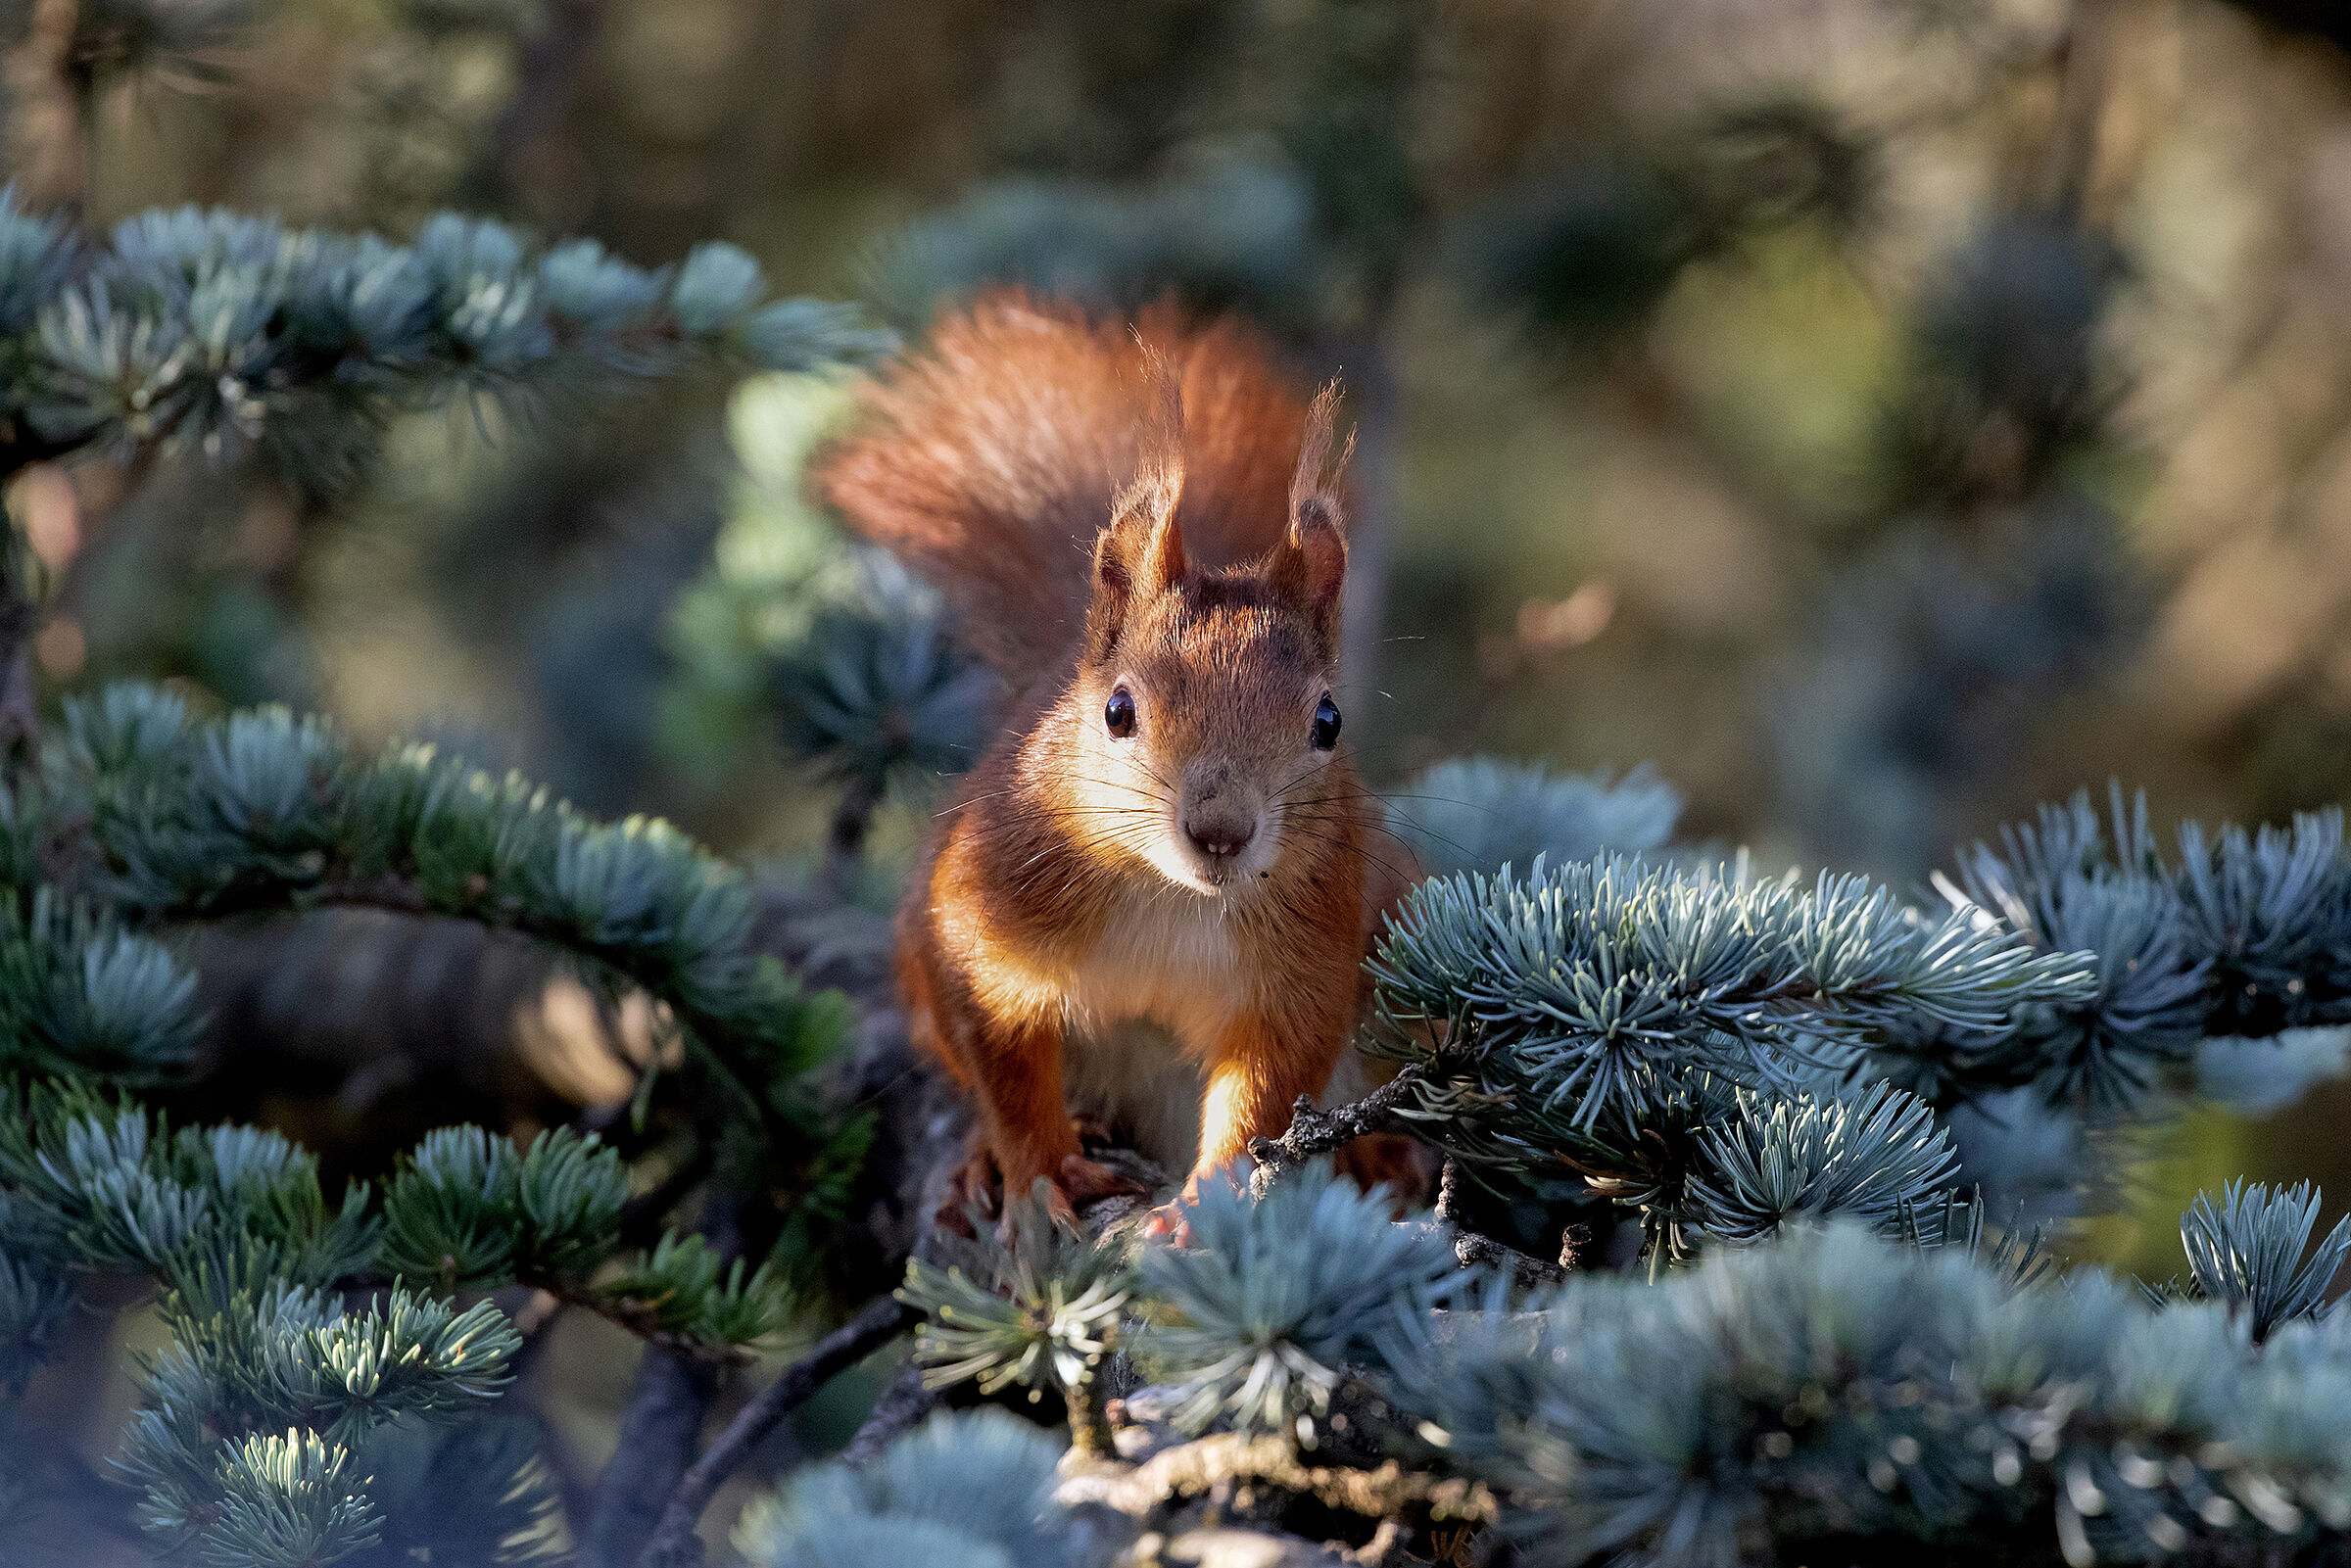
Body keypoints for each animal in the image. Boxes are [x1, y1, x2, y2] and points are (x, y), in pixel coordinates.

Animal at [818, 291, 1401, 1222]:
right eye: (1118, 711)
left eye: (1329, 720)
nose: (1221, 830)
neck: (1172, 895)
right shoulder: (983, 905)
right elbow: (1000, 1049)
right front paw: (1039, 1166)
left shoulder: (1310, 949)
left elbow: (1268, 1089)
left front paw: (1204, 1210)